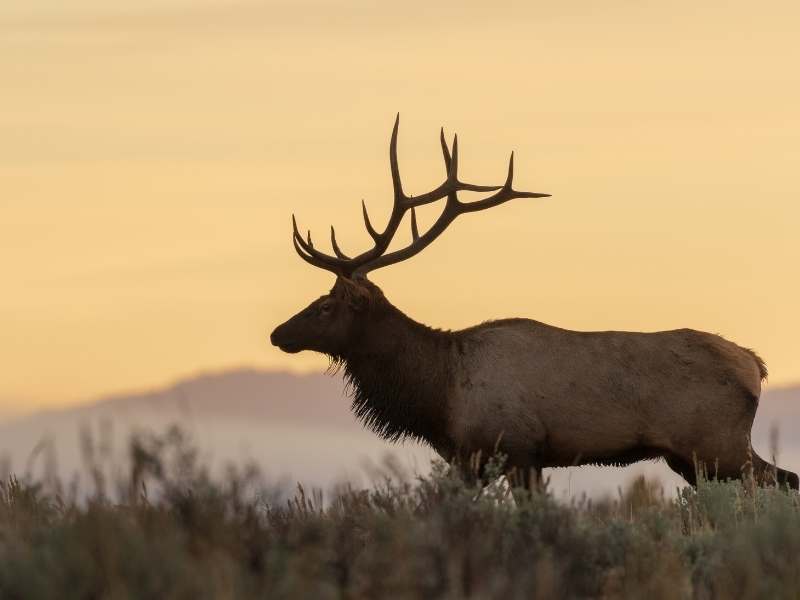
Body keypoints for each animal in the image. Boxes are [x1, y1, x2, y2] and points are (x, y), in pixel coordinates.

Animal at [270, 115, 800, 490]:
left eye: (327, 305)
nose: (277, 334)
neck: (438, 393)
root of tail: (756, 365)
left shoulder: (516, 447)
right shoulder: (474, 459)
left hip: (717, 444)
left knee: (778, 482)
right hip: (692, 457)